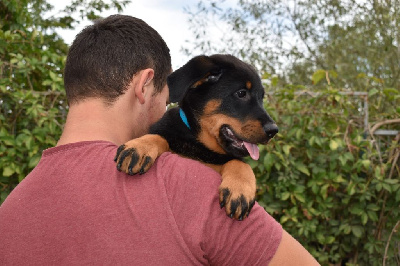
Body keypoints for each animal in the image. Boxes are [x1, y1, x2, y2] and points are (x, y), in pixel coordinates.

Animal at [115, 53, 278, 220]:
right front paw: (140, 147)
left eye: (261, 98)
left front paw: (240, 189)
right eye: (241, 93)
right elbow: (159, 136)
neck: (200, 144)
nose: (273, 130)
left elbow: (240, 162)